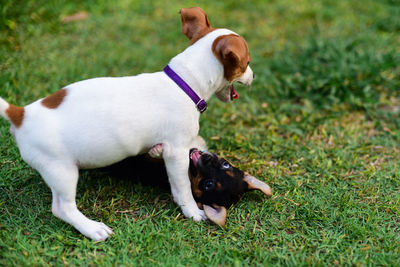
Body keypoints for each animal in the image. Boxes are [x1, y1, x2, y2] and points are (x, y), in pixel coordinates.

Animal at [0, 7, 253, 242]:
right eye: (246, 63)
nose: (252, 75)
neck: (184, 82)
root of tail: (21, 115)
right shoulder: (177, 152)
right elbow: (182, 187)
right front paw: (191, 211)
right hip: (62, 171)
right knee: (62, 208)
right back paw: (92, 229)